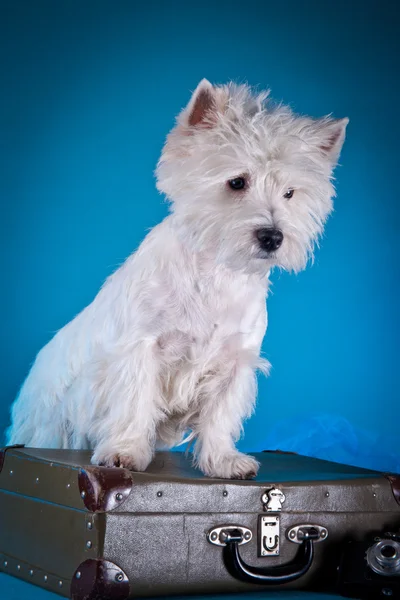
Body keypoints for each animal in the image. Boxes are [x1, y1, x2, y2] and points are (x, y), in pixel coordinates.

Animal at [7, 79, 348, 480]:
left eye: (290, 193)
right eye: (237, 182)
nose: (273, 237)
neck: (217, 274)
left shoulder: (235, 362)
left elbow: (220, 415)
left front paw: (225, 461)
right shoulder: (140, 348)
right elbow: (135, 402)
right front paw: (124, 453)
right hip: (50, 424)